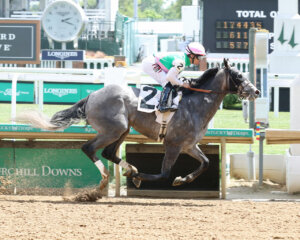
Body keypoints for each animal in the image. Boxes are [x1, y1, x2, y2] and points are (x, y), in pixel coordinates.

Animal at [17, 58, 258, 189]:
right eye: (238, 75)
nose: (255, 91)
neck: (196, 104)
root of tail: (92, 95)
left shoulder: (189, 145)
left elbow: (206, 163)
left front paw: (182, 179)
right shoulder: (173, 144)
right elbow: (164, 174)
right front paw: (140, 177)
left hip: (123, 129)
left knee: (108, 152)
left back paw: (128, 169)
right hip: (113, 129)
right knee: (89, 148)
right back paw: (107, 176)